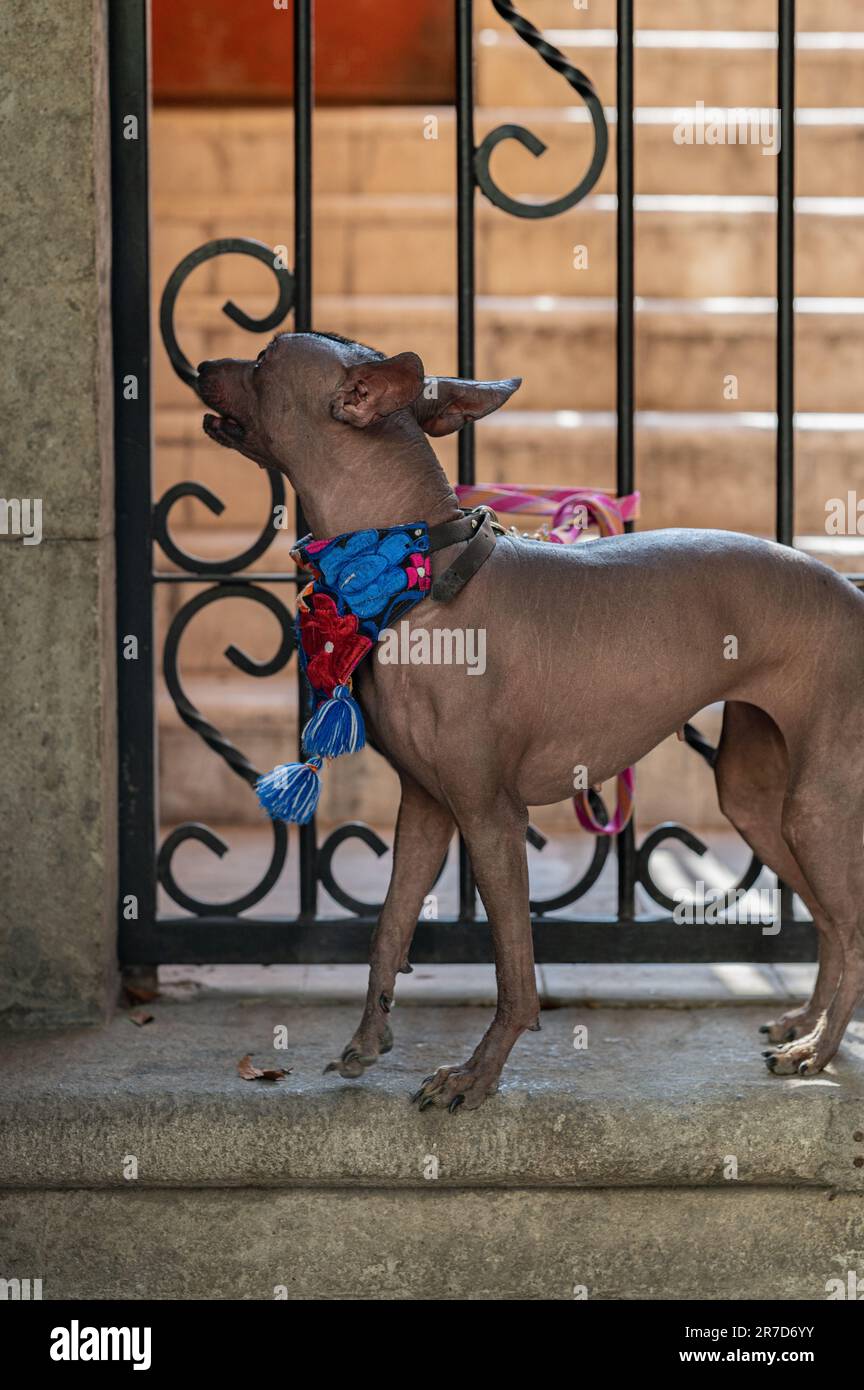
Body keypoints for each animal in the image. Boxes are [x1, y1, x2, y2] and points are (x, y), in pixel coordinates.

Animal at [200, 330, 864, 1112]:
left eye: (265, 361)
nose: (201, 365)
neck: (414, 577)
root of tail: (853, 592)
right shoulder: (426, 809)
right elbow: (388, 929)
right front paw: (367, 1040)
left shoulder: (491, 816)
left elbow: (513, 969)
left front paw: (477, 1076)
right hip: (756, 801)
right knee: (830, 919)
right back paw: (809, 1023)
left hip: (816, 807)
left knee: (853, 926)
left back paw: (820, 1048)